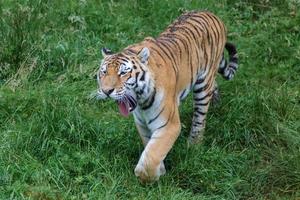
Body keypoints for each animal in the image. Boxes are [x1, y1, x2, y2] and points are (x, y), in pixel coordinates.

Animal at [95, 10, 238, 183]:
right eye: (103, 72)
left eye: (123, 73)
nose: (106, 91)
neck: (141, 102)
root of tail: (211, 13)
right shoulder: (142, 124)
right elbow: (150, 147)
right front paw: (161, 170)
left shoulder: (169, 125)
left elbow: (152, 155)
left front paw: (150, 177)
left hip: (203, 86)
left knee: (200, 118)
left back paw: (194, 145)